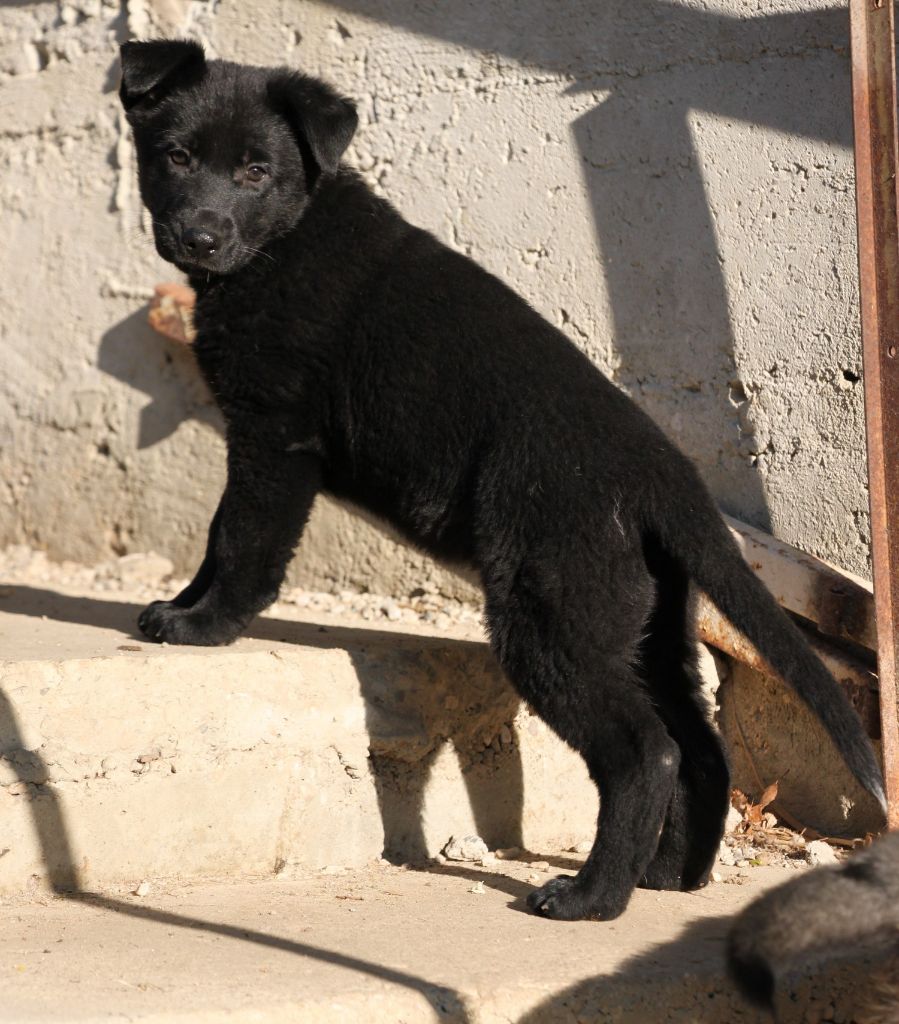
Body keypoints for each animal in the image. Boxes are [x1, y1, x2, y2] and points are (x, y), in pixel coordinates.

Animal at [119, 37, 888, 921]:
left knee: (643, 751)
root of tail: (668, 481)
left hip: (548, 617)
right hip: (638, 625)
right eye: (176, 156)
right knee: (697, 746)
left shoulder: (274, 436)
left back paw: (591, 897)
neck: (283, 239)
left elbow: (241, 537)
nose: (200, 237)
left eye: (255, 170)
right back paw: (668, 877)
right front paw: (180, 606)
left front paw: (204, 624)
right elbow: (218, 537)